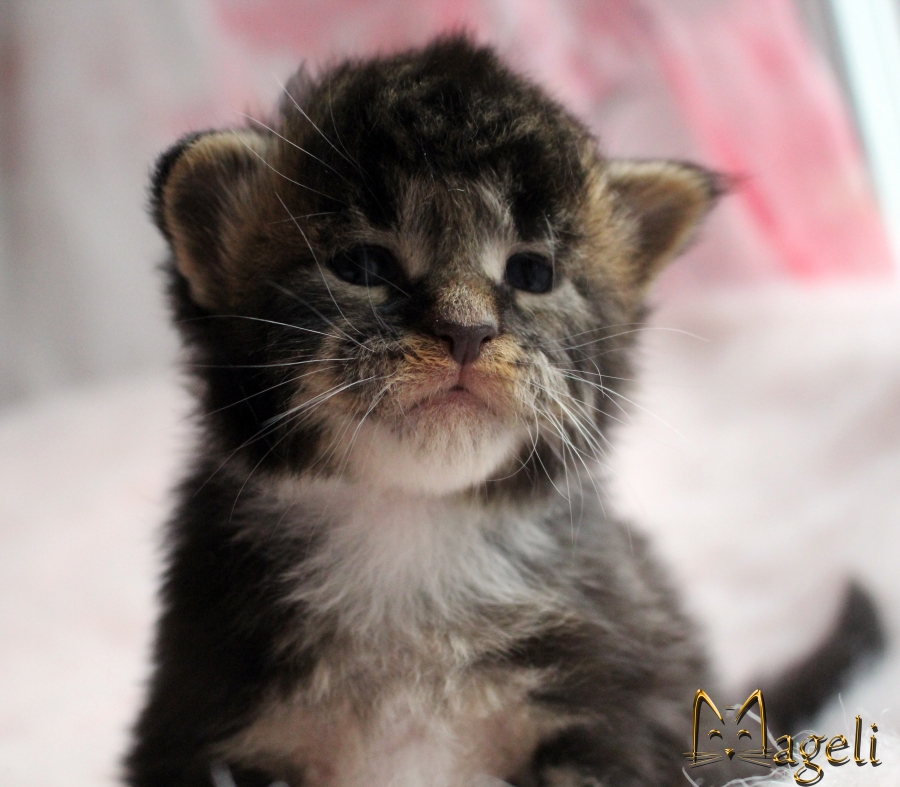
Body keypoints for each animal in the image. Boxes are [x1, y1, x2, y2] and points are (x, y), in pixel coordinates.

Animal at [124, 36, 880, 787]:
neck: (412, 531)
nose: (466, 330)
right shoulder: (199, 717)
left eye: (532, 273)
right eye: (364, 265)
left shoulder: (615, 715)